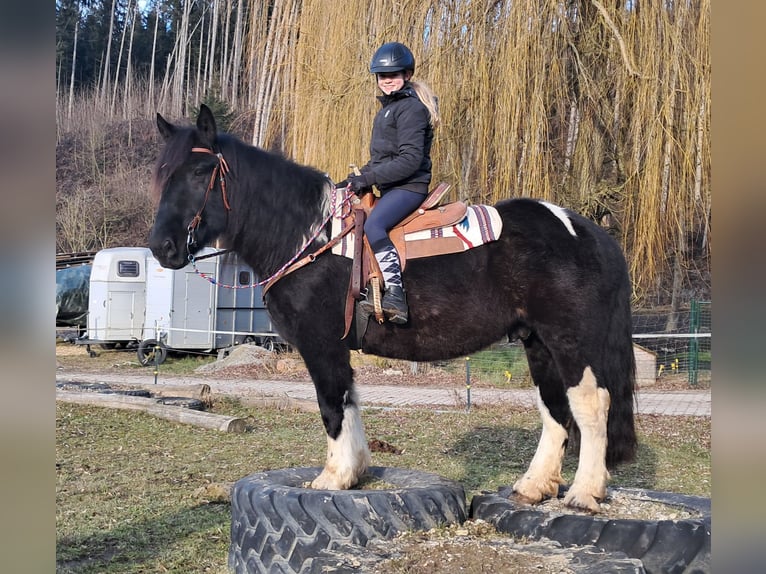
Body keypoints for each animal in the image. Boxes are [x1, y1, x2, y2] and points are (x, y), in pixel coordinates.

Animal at [148, 106, 636, 516]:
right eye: (163, 173)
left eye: (200, 171)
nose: (161, 247)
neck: (309, 235)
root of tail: (586, 232)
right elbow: (350, 400)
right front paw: (356, 470)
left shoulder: (321, 344)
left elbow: (331, 404)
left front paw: (333, 477)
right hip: (537, 343)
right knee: (554, 408)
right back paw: (533, 486)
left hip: (570, 340)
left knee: (591, 404)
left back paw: (584, 492)